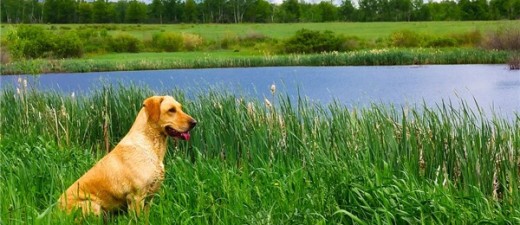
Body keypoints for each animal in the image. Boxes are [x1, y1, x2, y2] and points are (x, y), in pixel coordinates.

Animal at [58, 95, 197, 216]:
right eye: (171, 110)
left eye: (180, 108)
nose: (194, 122)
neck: (152, 146)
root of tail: (55, 209)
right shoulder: (136, 197)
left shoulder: (149, 197)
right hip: (92, 205)